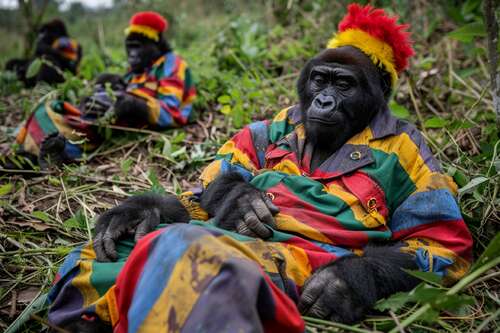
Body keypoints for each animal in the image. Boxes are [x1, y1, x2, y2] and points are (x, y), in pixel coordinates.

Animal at [1, 11, 197, 171]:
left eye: (138, 46)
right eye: (130, 46)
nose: (132, 56)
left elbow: (168, 108)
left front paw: (120, 103)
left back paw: (50, 157)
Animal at [46, 3, 472, 332]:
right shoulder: (278, 120)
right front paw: (230, 201)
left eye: (344, 84)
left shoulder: (416, 152)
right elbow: (213, 183)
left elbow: (433, 245)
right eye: (320, 79)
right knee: (87, 265)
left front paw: (343, 284)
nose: (324, 102)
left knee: (201, 253)